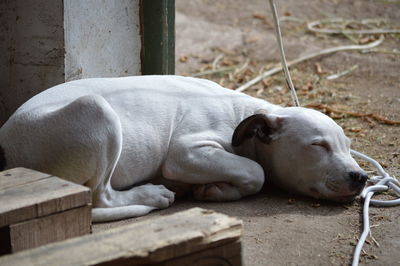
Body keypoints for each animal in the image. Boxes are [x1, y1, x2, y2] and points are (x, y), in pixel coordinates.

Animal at [0, 75, 366, 222]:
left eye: (349, 146)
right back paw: (152, 194)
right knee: (101, 196)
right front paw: (216, 190)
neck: (243, 117)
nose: (360, 177)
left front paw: (213, 188)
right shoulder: (186, 152)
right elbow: (256, 172)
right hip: (96, 110)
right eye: (317, 146)